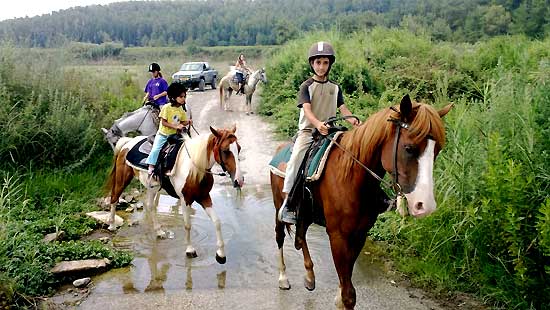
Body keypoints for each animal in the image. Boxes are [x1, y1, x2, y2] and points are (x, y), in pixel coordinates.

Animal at [106, 124, 245, 262]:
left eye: (239, 148)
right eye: (226, 150)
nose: (239, 181)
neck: (194, 168)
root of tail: (128, 142)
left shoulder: (204, 197)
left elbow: (217, 222)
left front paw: (220, 255)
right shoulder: (185, 199)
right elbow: (187, 225)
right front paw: (190, 250)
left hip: (151, 188)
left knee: (150, 206)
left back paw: (159, 232)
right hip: (122, 179)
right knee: (114, 198)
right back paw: (112, 225)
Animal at [270, 95, 452, 308]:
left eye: (437, 150)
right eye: (409, 148)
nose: (425, 205)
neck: (350, 176)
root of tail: (279, 149)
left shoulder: (360, 234)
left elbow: (346, 278)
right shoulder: (338, 236)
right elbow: (349, 294)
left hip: (305, 211)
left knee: (301, 236)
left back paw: (309, 275)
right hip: (279, 207)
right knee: (280, 236)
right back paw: (283, 278)